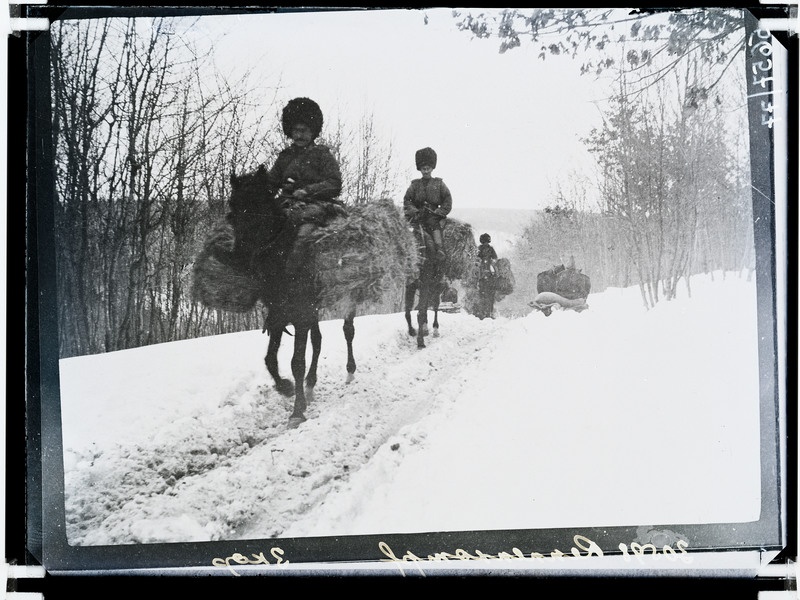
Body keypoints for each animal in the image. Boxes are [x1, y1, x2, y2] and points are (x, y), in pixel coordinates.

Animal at [230, 166, 358, 428]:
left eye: (257, 203)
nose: (238, 256)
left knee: (348, 330)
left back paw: (350, 371)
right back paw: (310, 384)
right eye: (232, 206)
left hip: (345, 296)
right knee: (317, 341)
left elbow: (297, 361)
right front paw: (287, 388)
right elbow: (270, 358)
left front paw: (297, 411)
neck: (281, 255)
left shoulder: (300, 315)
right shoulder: (279, 313)